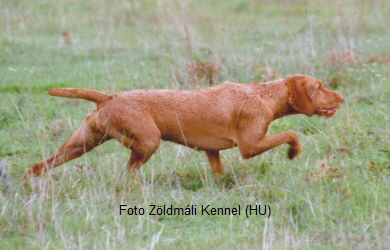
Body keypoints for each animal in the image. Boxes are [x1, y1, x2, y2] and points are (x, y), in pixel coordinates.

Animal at [25, 75, 344, 179]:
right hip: (148, 141)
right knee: (129, 171)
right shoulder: (249, 146)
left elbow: (218, 173)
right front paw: (293, 153)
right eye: (318, 86)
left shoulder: (212, 152)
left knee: (38, 166)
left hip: (82, 142)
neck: (264, 94)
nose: (342, 98)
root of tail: (109, 97)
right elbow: (292, 133)